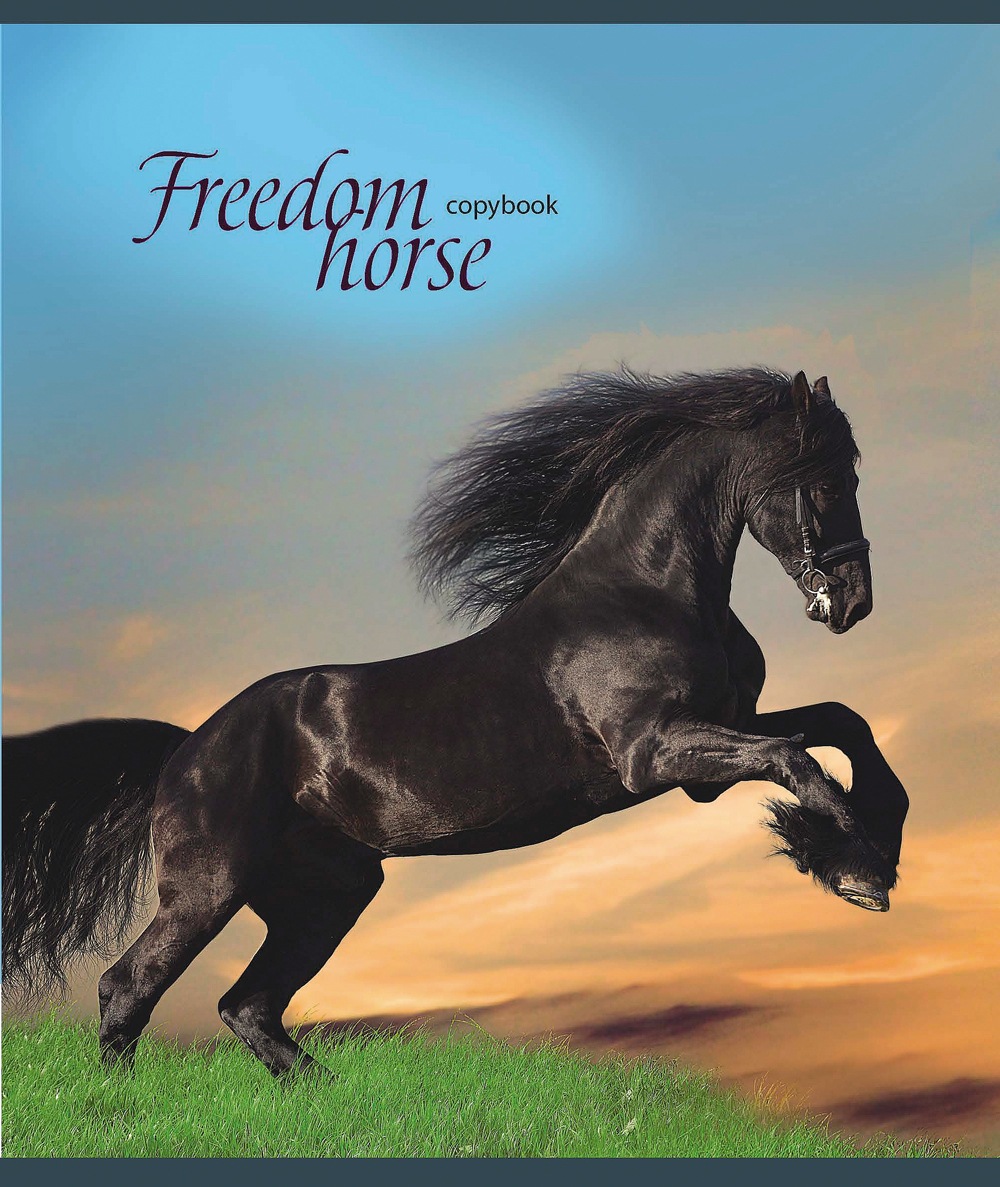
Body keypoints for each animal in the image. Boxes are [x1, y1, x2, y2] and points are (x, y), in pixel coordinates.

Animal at [2, 367, 909, 1079]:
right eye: (829, 479)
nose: (855, 602)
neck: (644, 592)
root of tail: (183, 748)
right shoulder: (655, 754)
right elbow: (797, 758)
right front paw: (856, 871)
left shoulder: (709, 751)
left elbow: (840, 725)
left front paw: (876, 845)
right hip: (208, 885)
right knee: (131, 985)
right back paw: (116, 1106)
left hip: (326, 893)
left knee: (247, 1003)